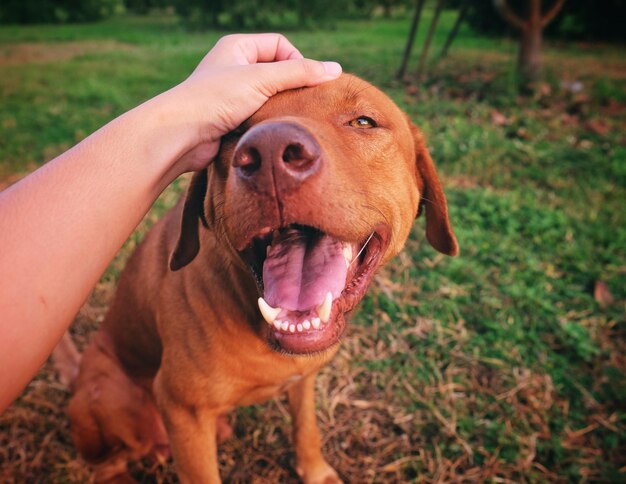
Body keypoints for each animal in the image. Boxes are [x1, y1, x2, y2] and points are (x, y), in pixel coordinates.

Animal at [58, 73, 456, 484]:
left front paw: (314, 470)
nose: (270, 152)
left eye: (363, 121)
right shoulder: (182, 411)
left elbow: (306, 426)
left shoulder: (304, 378)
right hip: (108, 396)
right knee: (108, 464)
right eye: (234, 132)